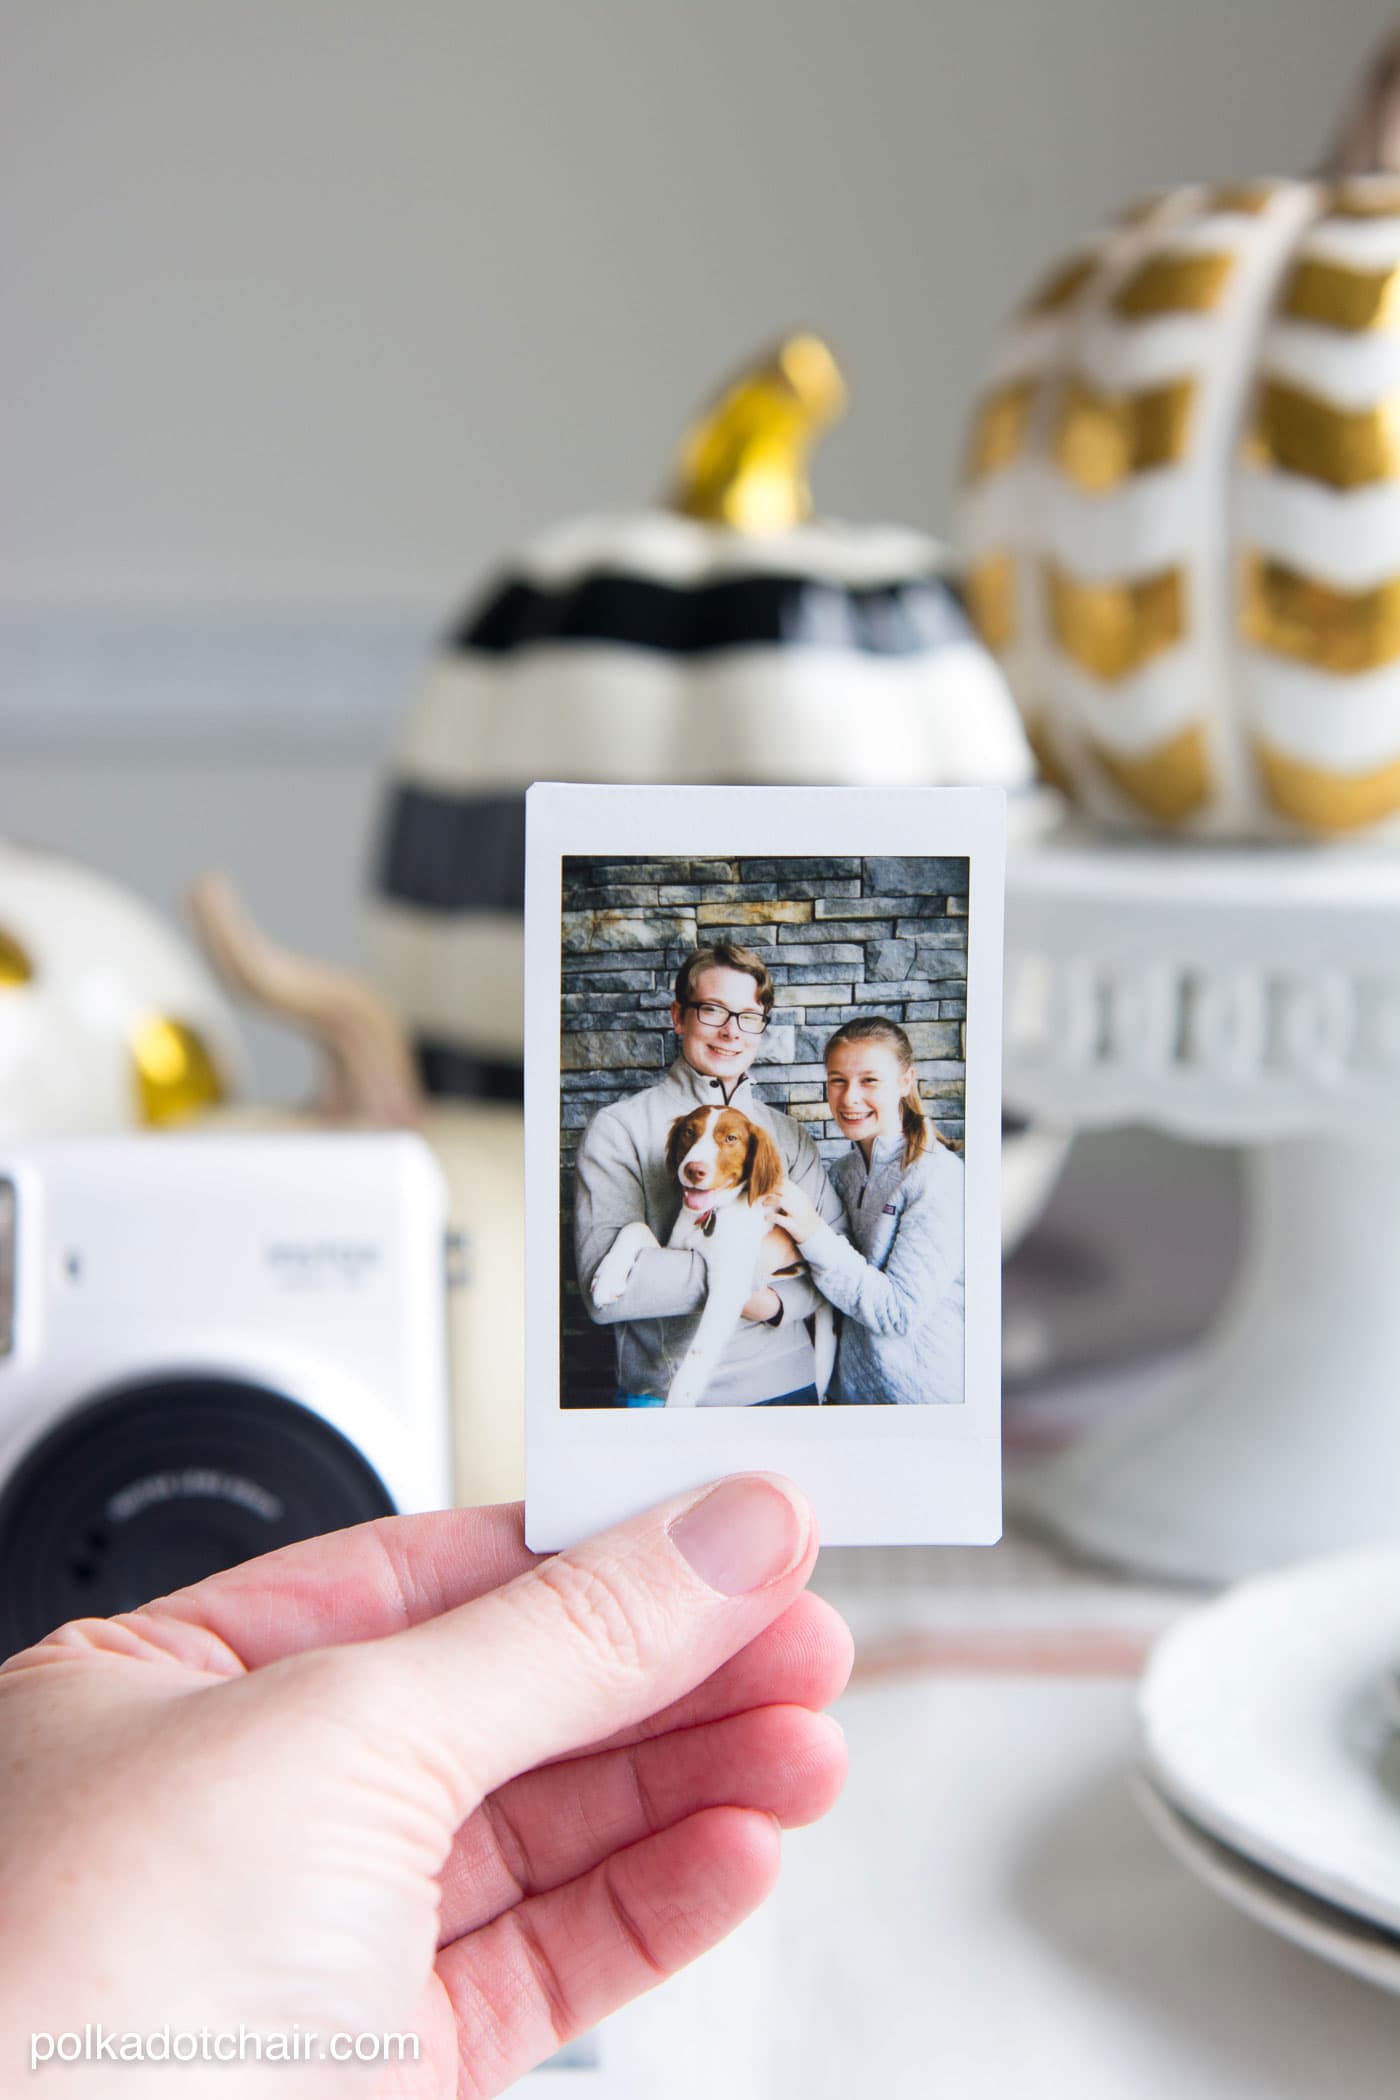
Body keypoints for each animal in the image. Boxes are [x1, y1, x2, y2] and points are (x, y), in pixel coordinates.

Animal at [596, 1100, 831, 1411]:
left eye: (731, 1138)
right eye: (688, 1132)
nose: (693, 1170)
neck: (713, 1214)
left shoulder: (729, 1284)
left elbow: (699, 1351)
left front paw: (679, 1401)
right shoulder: (675, 1250)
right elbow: (635, 1227)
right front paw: (606, 1280)